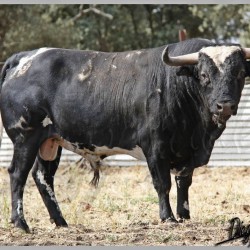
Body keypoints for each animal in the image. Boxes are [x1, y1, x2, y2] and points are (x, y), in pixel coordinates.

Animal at [0, 37, 250, 232]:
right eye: (205, 75)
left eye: (239, 73)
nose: (225, 106)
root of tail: (24, 57)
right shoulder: (155, 147)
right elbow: (163, 184)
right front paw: (168, 217)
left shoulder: (186, 151)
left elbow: (184, 182)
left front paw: (184, 215)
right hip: (26, 137)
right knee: (18, 175)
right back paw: (21, 223)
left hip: (51, 141)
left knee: (43, 177)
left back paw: (60, 221)